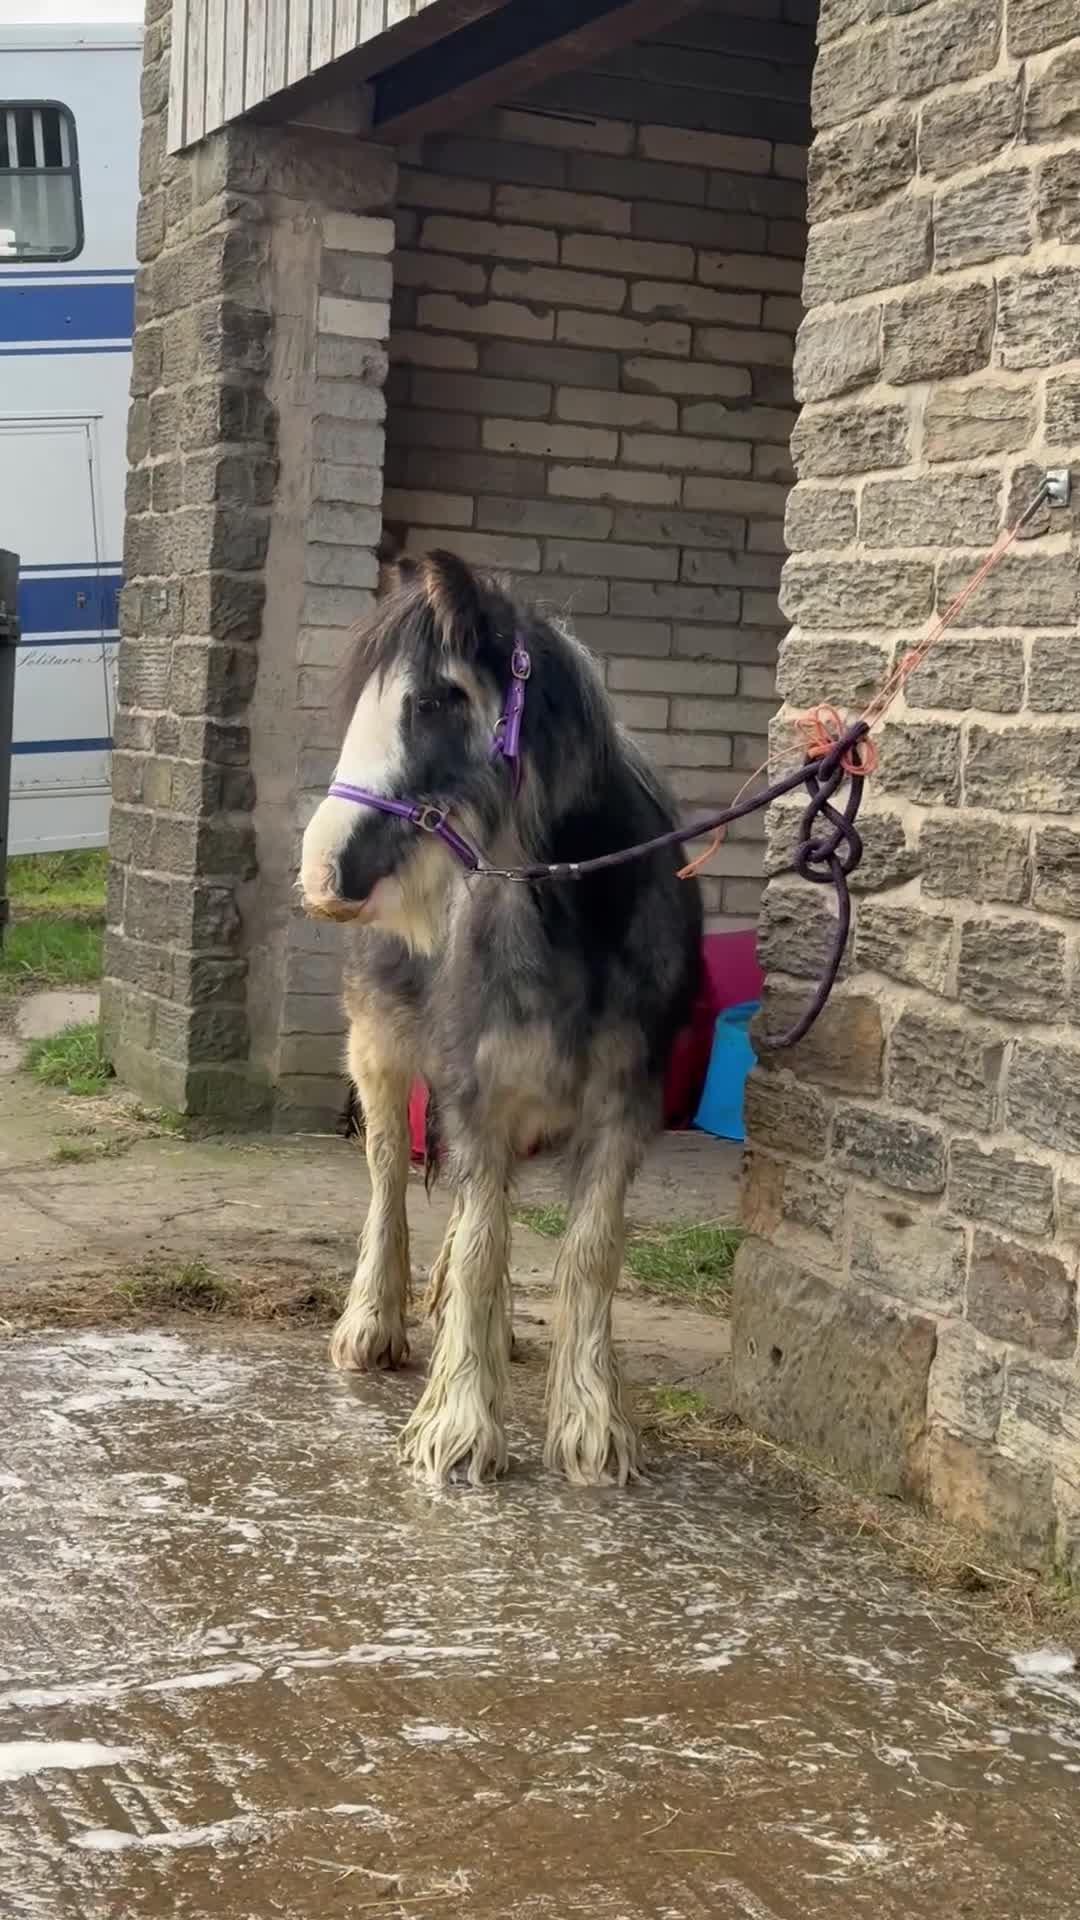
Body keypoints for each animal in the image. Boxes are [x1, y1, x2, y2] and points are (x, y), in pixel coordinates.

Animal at [299, 550, 703, 1488]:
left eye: (434, 700)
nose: (323, 871)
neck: (575, 912)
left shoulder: (619, 1109)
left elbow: (587, 1252)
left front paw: (591, 1426)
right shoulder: (476, 1092)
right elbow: (483, 1244)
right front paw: (457, 1426)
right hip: (379, 1050)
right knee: (386, 1178)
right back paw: (375, 1324)